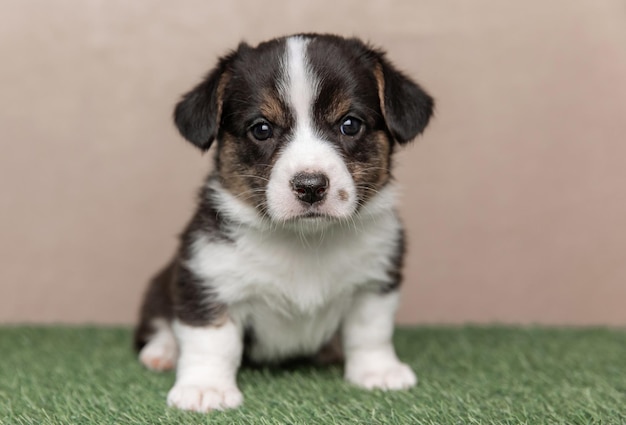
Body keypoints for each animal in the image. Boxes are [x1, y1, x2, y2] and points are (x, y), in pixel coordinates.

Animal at [134, 32, 432, 410]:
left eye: (350, 124)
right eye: (261, 129)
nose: (311, 186)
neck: (304, 240)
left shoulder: (374, 280)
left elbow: (370, 331)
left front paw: (378, 372)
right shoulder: (207, 276)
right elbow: (211, 340)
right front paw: (206, 388)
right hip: (160, 284)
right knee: (161, 322)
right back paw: (162, 352)